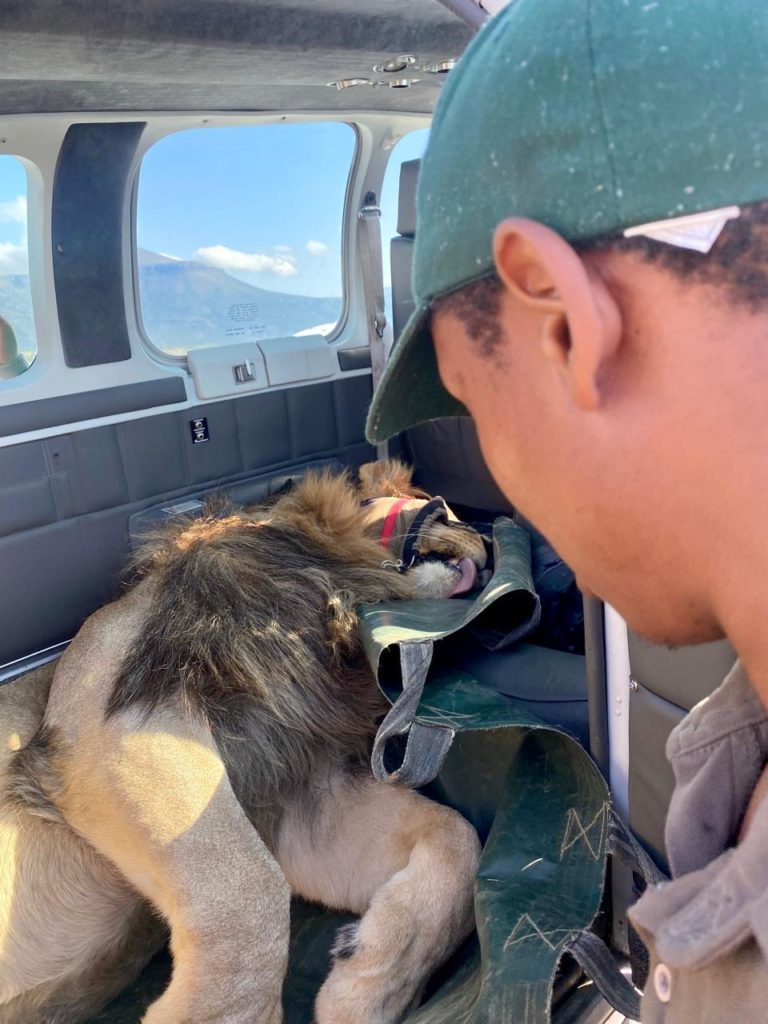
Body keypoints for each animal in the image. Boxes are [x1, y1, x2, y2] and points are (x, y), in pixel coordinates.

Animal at [0, 462, 487, 1024]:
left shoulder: (291, 794)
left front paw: (368, 992)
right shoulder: (111, 716)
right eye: (446, 510)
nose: (488, 546)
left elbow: (460, 841)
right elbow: (250, 896)